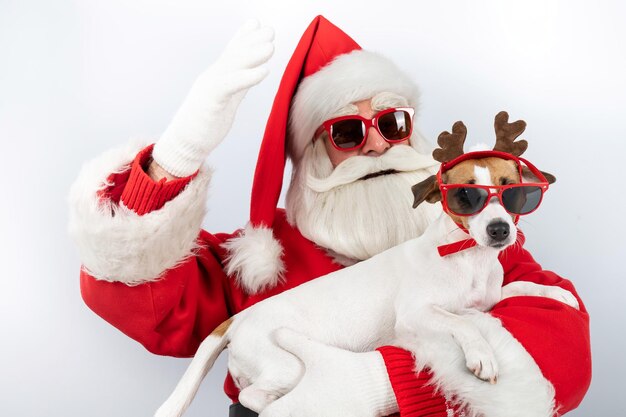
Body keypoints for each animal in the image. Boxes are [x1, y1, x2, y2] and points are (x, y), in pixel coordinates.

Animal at [154, 114, 576, 416]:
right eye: (464, 195)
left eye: (513, 191)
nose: (499, 229)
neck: (468, 257)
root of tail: (238, 320)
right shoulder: (416, 314)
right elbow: (461, 322)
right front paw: (482, 355)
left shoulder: (489, 297)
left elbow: (516, 288)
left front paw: (555, 293)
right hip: (283, 367)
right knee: (255, 397)